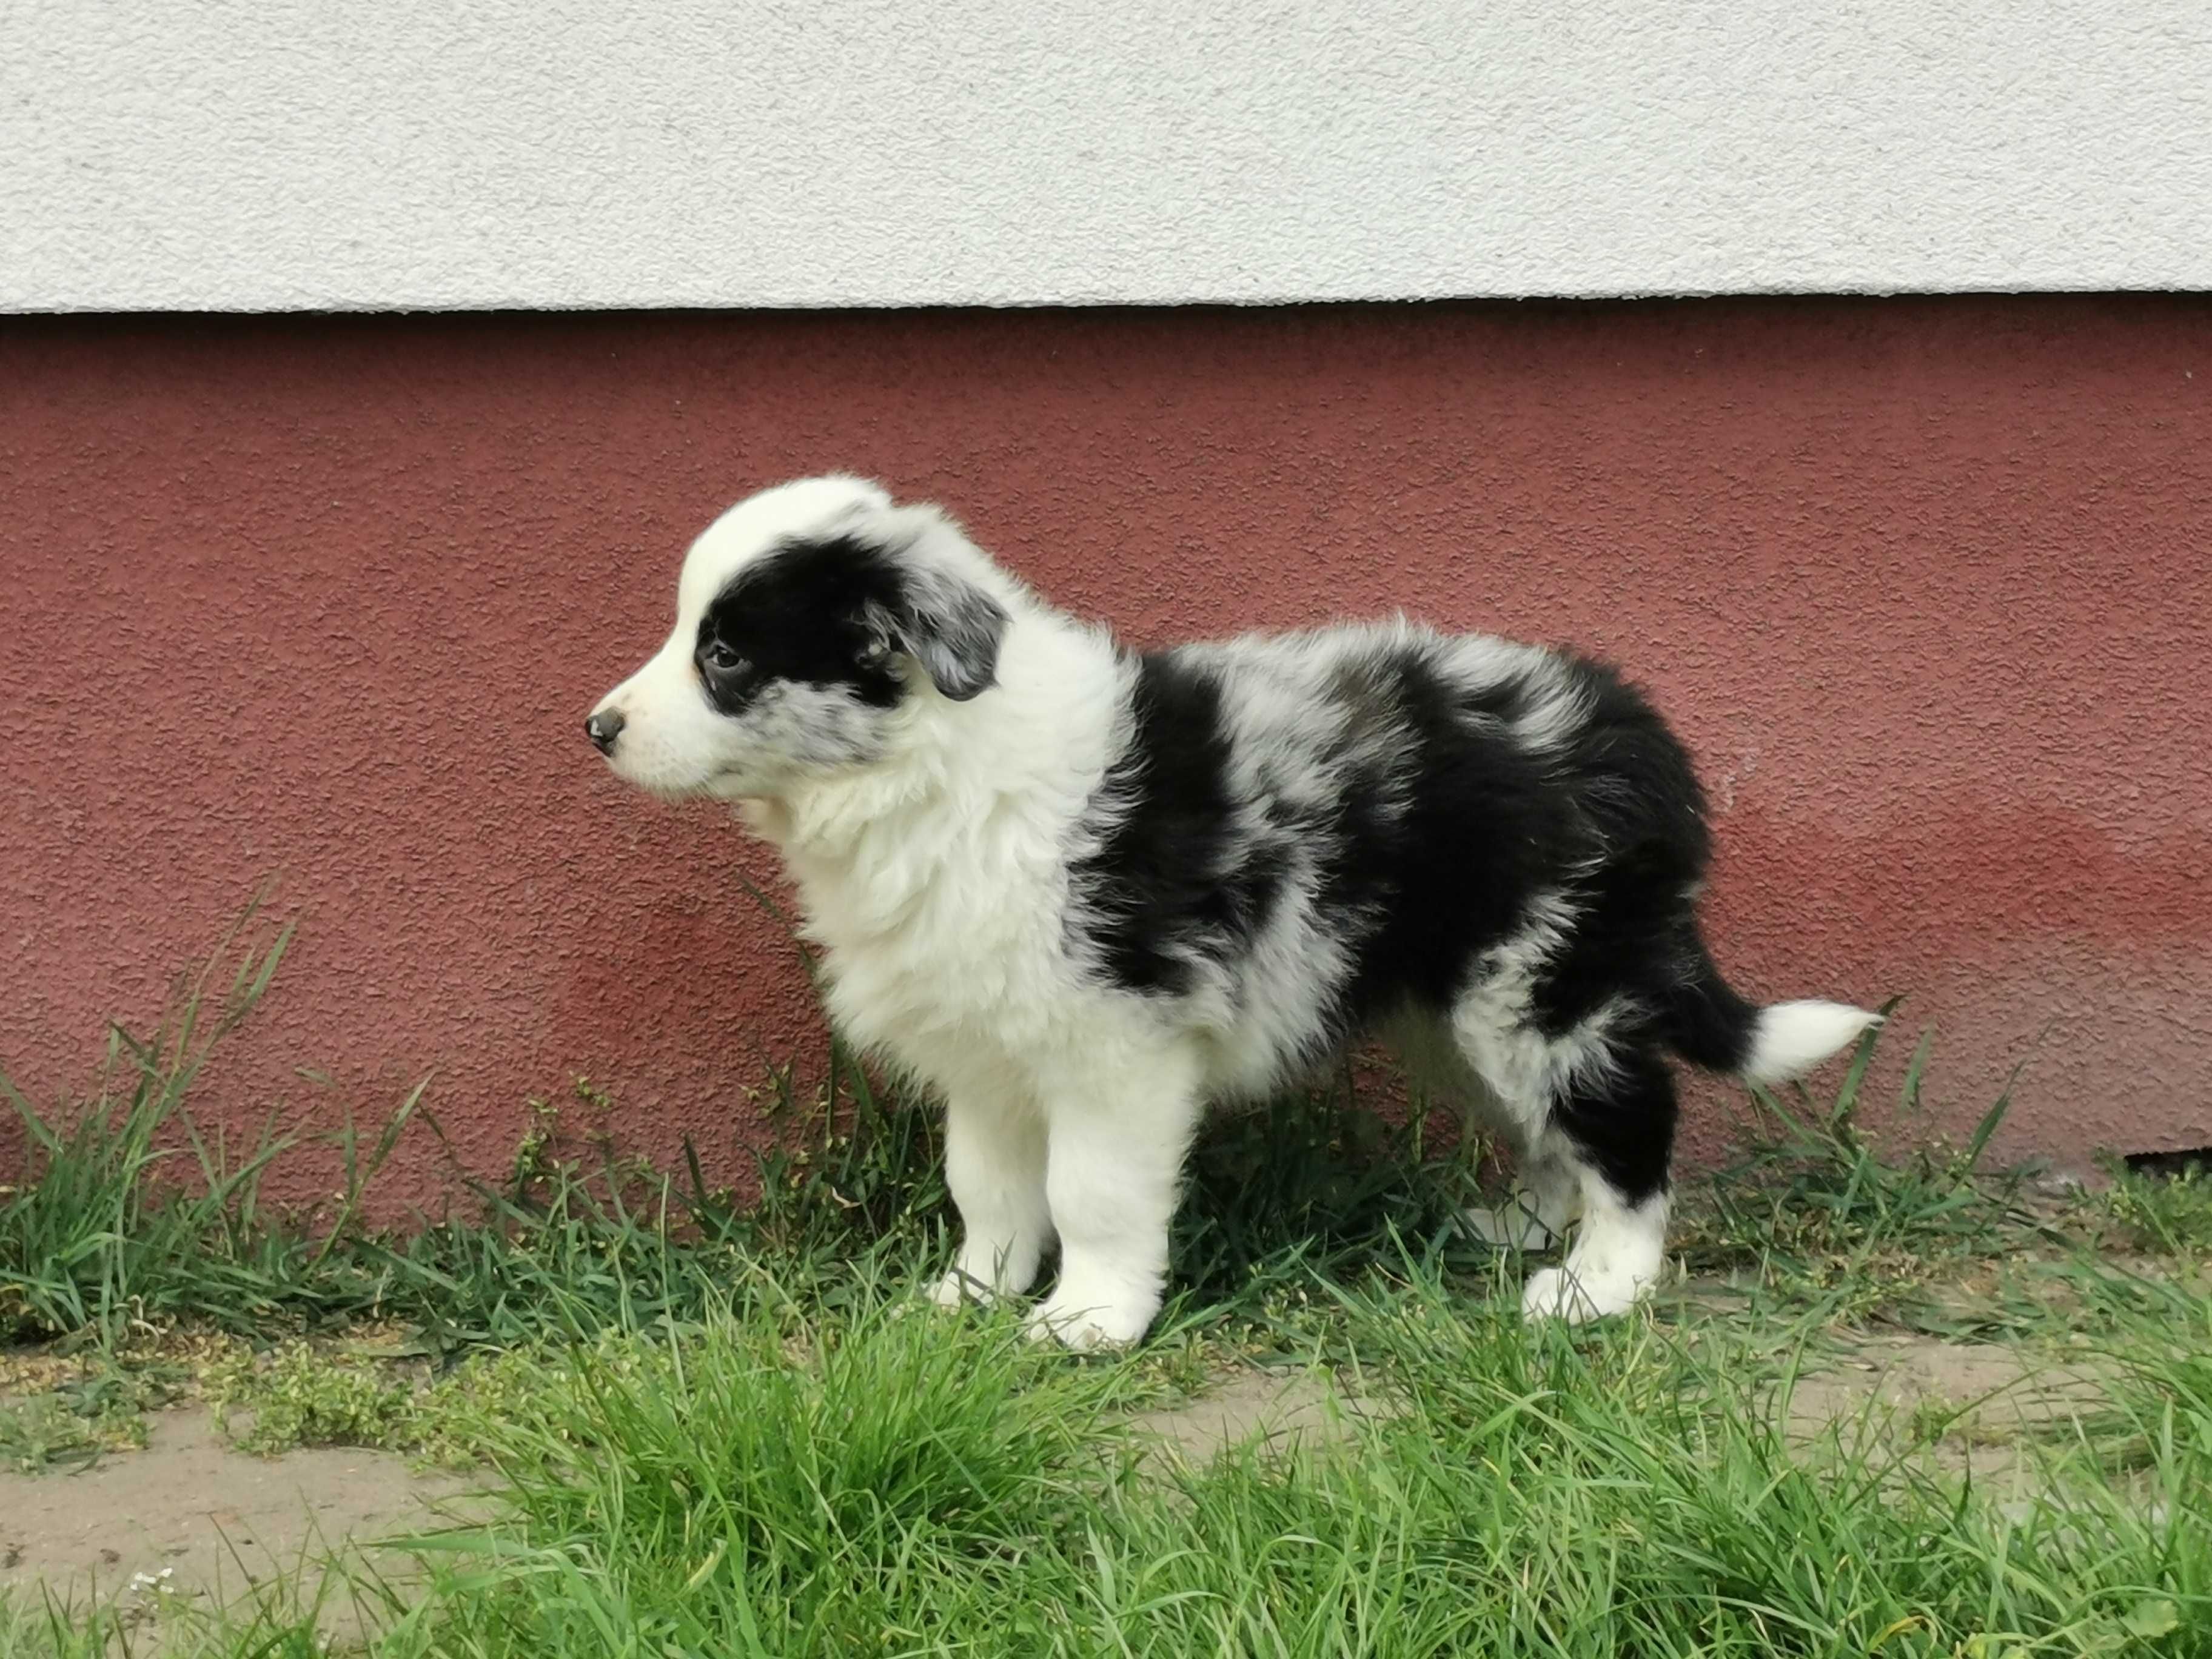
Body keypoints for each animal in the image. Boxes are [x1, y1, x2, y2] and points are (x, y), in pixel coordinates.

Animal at [584, 477, 1866, 1353]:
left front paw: (1088, 1320)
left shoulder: (1115, 1045)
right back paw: (1524, 1228)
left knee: (1626, 1127)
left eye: (726, 656)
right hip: (1458, 1008)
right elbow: (985, 1185)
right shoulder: (986, 1049)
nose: (597, 728)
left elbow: (1091, 1191)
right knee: (1552, 1129)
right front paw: (973, 1293)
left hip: (1548, 982)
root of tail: (1635, 735)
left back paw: (1600, 1287)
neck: (929, 771)